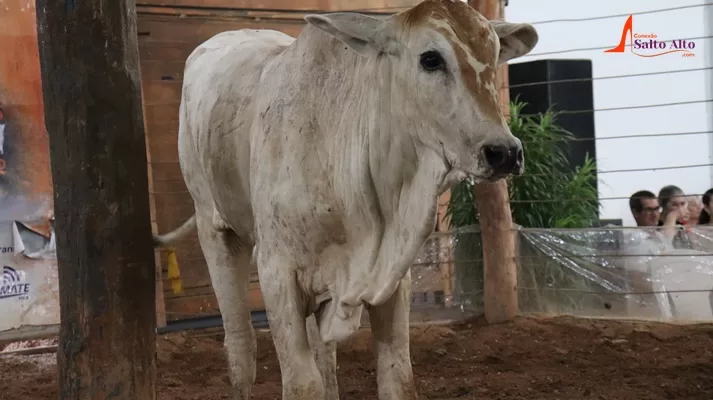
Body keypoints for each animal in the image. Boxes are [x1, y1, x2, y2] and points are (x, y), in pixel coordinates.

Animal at [153, 1, 536, 398]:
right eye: (430, 59)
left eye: (493, 54)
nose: (504, 152)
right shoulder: (276, 271)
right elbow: (303, 383)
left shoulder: (392, 280)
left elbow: (397, 378)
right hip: (215, 230)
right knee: (240, 346)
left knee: (323, 354)